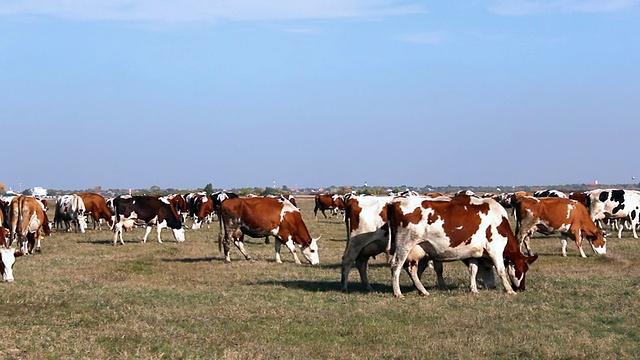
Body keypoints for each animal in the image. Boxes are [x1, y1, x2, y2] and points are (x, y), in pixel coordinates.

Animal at [388, 195, 536, 300]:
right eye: (522, 270)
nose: (522, 289)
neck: (499, 220)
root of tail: (395, 202)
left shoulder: (474, 253)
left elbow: (473, 270)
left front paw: (474, 289)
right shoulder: (495, 249)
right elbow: (501, 270)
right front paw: (509, 290)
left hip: (417, 249)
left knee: (411, 269)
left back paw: (422, 291)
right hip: (404, 245)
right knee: (396, 266)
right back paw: (398, 293)